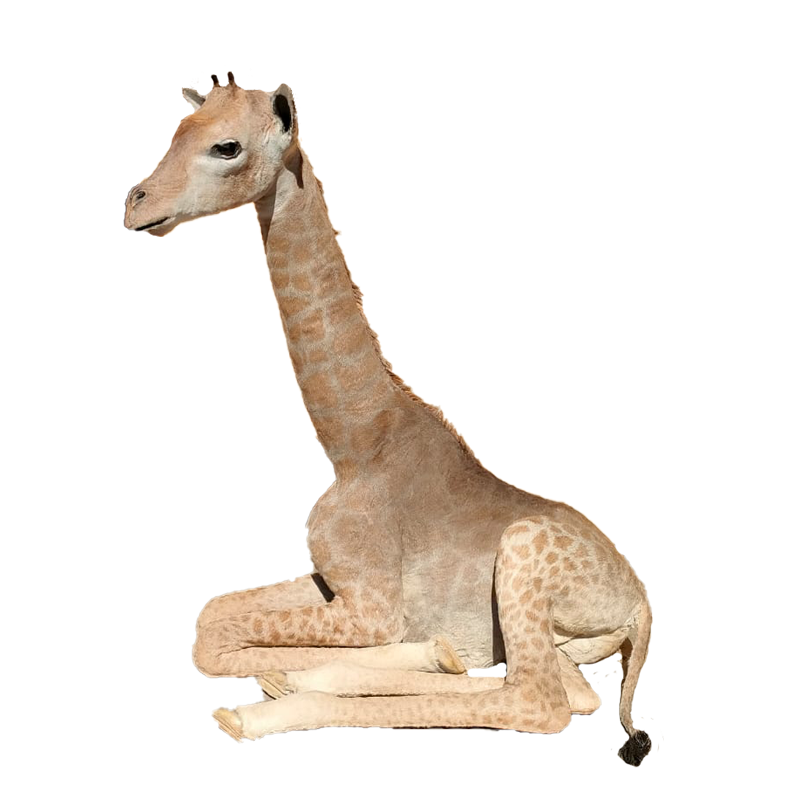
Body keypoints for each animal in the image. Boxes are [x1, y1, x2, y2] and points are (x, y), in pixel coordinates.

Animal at [124, 81, 656, 766]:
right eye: (176, 132)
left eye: (227, 146)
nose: (136, 206)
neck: (356, 444)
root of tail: (639, 598)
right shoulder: (330, 581)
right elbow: (211, 618)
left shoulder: (372, 607)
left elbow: (219, 639)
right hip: (558, 637)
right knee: (569, 692)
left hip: (522, 561)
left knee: (538, 702)